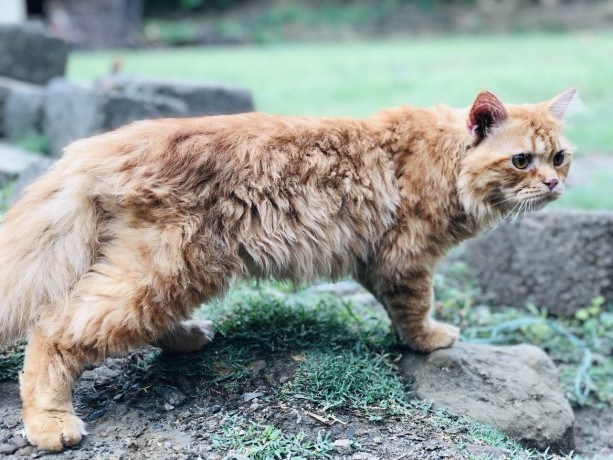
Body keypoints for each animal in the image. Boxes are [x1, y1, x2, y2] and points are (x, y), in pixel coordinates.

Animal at [0, 89, 572, 450]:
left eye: (560, 157)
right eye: (522, 160)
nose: (553, 184)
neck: (445, 158)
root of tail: (91, 149)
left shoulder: (379, 262)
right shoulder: (406, 261)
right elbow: (415, 311)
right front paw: (430, 340)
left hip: (167, 273)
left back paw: (188, 337)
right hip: (168, 269)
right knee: (54, 331)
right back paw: (50, 423)